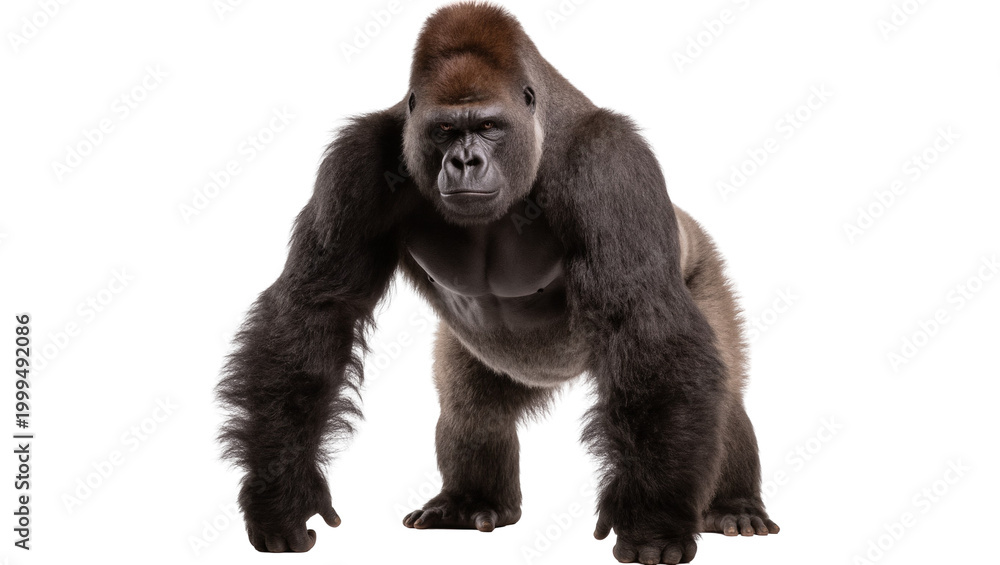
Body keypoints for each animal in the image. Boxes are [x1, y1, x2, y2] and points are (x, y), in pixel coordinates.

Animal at [216, 3, 778, 563]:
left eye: (488, 126)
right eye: (445, 130)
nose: (465, 161)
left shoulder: (610, 161)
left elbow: (643, 324)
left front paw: (655, 521)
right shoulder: (356, 160)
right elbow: (318, 307)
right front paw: (281, 492)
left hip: (704, 263)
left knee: (720, 394)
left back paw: (734, 505)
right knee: (470, 405)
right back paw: (472, 500)